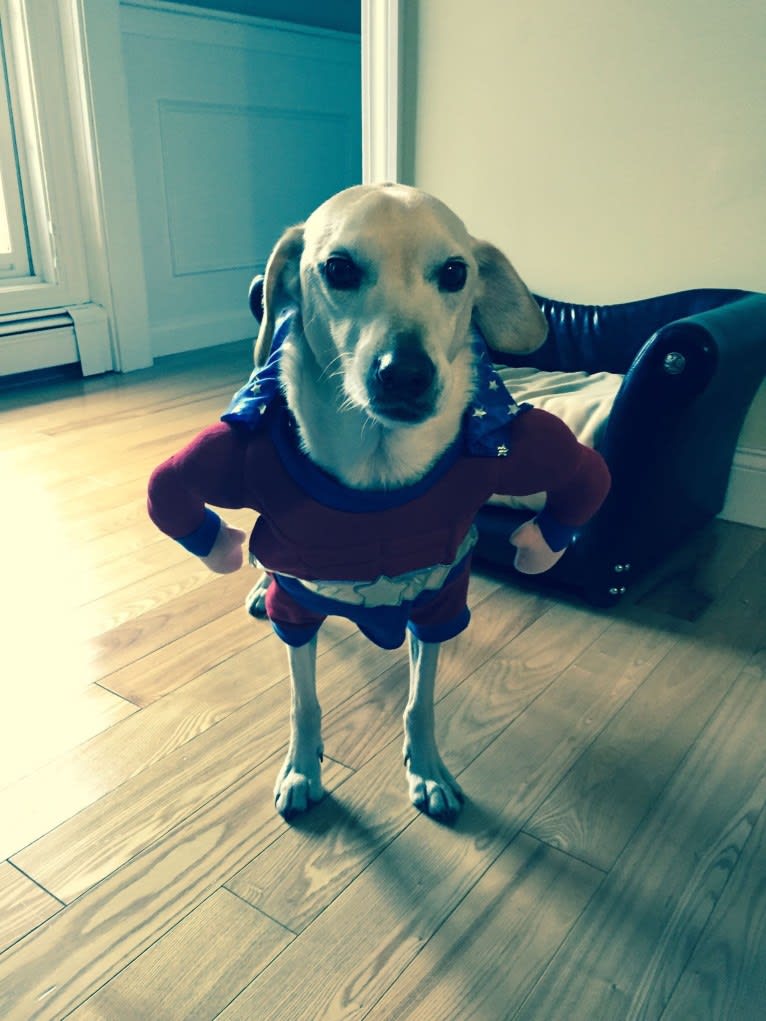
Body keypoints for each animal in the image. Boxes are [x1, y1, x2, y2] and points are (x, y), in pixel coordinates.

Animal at [145, 181, 612, 820]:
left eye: (455, 272)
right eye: (338, 269)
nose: (406, 373)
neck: (378, 464)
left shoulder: (438, 603)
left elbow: (421, 701)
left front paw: (429, 770)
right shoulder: (297, 609)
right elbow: (303, 701)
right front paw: (301, 767)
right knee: (262, 549)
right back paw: (259, 587)